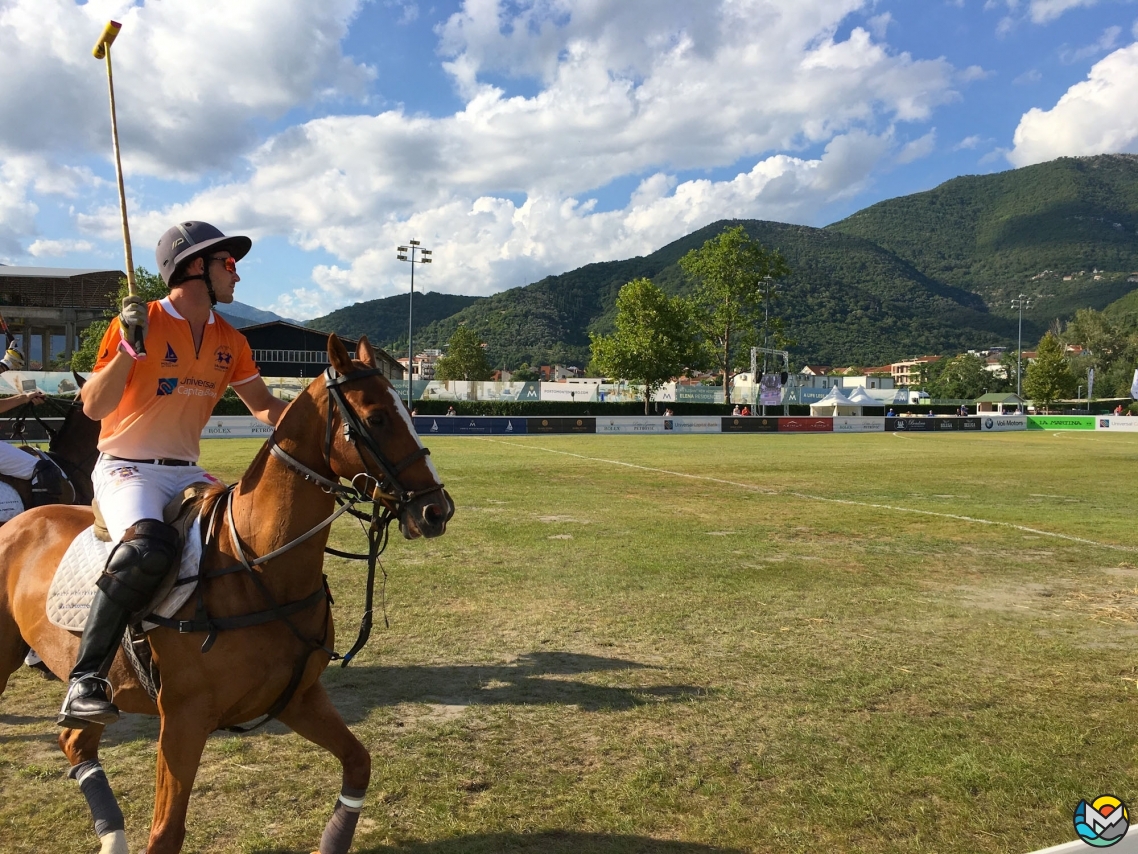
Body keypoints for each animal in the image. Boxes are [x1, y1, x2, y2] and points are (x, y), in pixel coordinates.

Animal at [0, 337, 452, 851]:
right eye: (376, 417)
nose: (437, 511)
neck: (257, 568)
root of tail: (19, 521)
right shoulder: (183, 718)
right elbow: (166, 832)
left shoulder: (300, 697)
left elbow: (359, 763)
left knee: (76, 743)